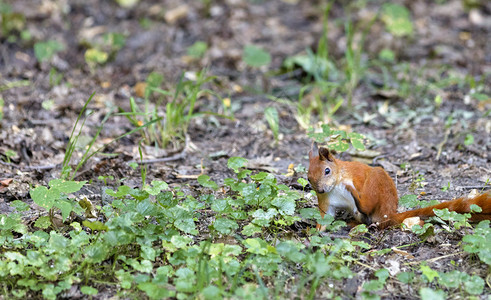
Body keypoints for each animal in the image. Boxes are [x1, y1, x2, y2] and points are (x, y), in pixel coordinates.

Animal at [308, 142, 491, 230]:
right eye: (308, 178)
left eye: (327, 171)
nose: (321, 189)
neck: (335, 186)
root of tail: (388, 214)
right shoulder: (326, 201)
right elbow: (324, 218)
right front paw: (316, 232)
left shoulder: (356, 176)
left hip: (377, 184)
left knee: (367, 205)